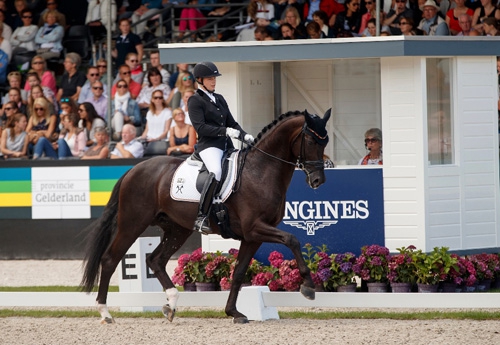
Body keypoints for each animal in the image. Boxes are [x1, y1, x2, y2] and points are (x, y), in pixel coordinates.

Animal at [80, 109, 330, 322]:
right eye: (311, 141)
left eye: (325, 141)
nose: (318, 180)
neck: (261, 171)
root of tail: (133, 169)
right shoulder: (254, 228)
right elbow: (292, 239)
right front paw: (308, 286)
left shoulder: (252, 236)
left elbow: (239, 273)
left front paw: (233, 312)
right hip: (132, 223)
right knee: (110, 259)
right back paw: (105, 313)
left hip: (177, 229)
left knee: (155, 260)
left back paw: (171, 304)